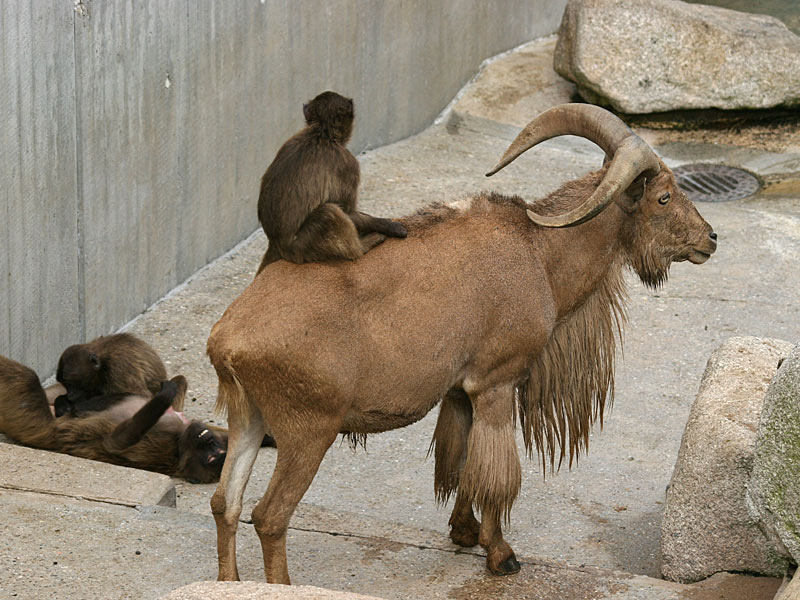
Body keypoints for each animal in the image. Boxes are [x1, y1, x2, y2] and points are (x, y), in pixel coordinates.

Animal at [256, 89, 406, 272]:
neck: (321, 133)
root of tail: (275, 243)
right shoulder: (347, 164)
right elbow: (347, 211)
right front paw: (388, 226)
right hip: (301, 247)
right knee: (328, 213)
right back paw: (361, 249)